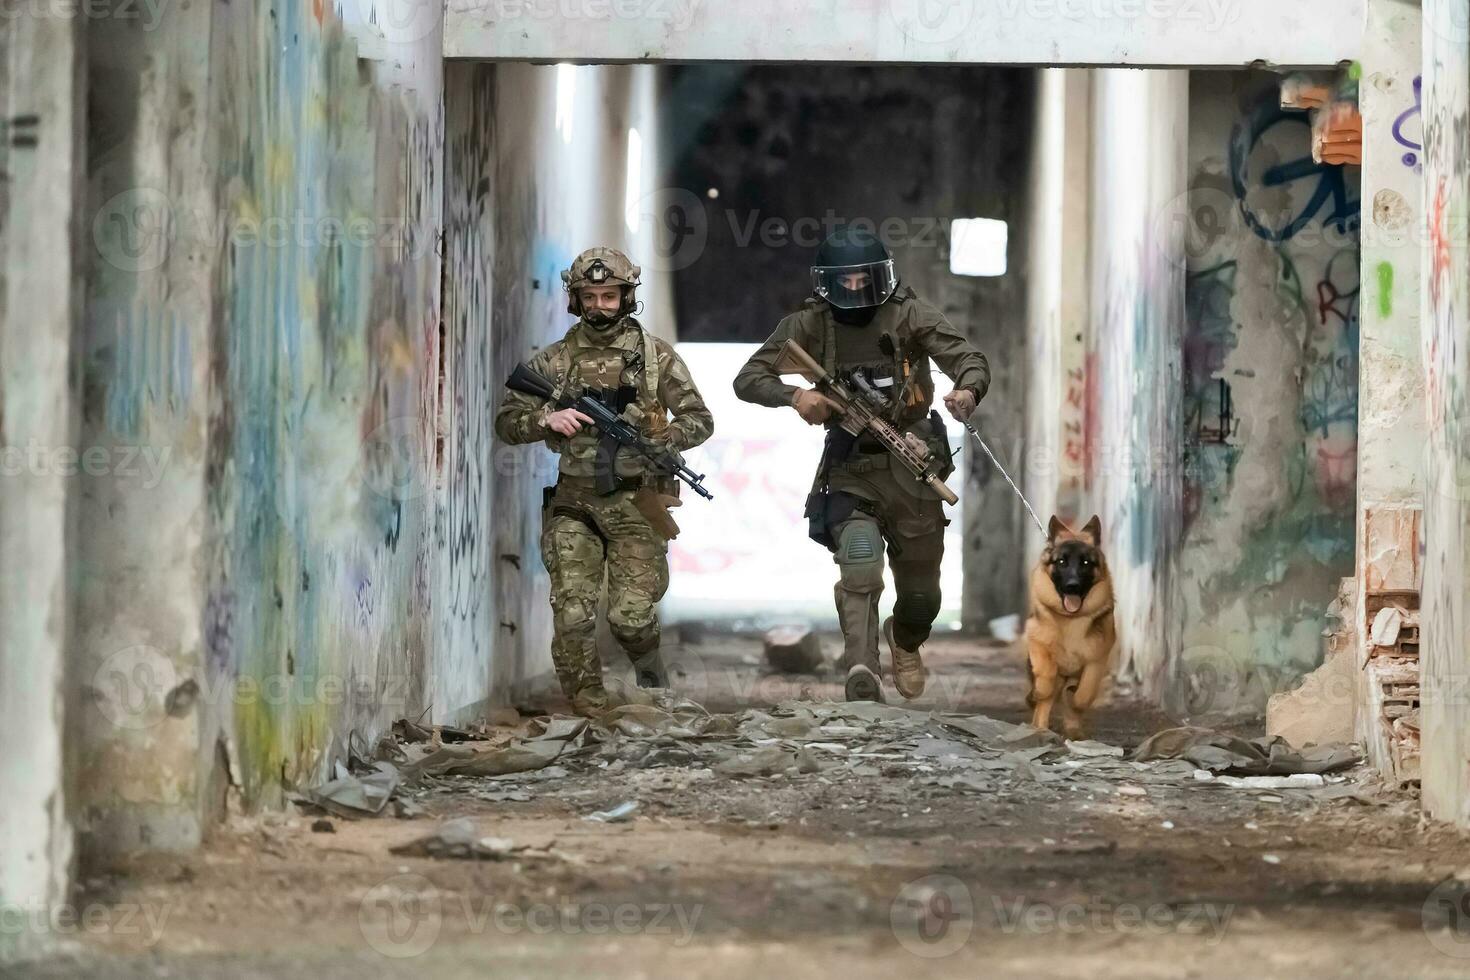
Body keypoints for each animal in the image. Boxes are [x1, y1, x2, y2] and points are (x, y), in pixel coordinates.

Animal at [1023, 520, 1111, 734]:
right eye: (1061, 562)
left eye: (1085, 563)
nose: (1072, 586)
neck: (1072, 619)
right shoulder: (1038, 644)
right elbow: (1045, 679)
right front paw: (1037, 693)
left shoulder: (1096, 661)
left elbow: (1085, 693)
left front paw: (1075, 698)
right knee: (1044, 704)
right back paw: (1040, 725)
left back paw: (1073, 729)